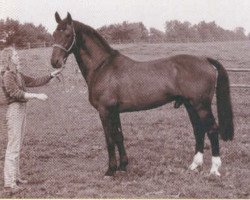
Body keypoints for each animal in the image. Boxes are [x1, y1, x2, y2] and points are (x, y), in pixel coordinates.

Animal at [50, 12, 234, 177]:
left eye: (67, 34)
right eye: (54, 34)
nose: (55, 62)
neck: (102, 66)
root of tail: (205, 60)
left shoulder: (105, 111)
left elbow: (109, 139)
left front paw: (110, 170)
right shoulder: (114, 111)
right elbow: (119, 136)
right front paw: (123, 166)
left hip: (201, 106)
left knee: (212, 130)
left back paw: (214, 170)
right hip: (190, 105)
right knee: (198, 130)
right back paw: (195, 165)